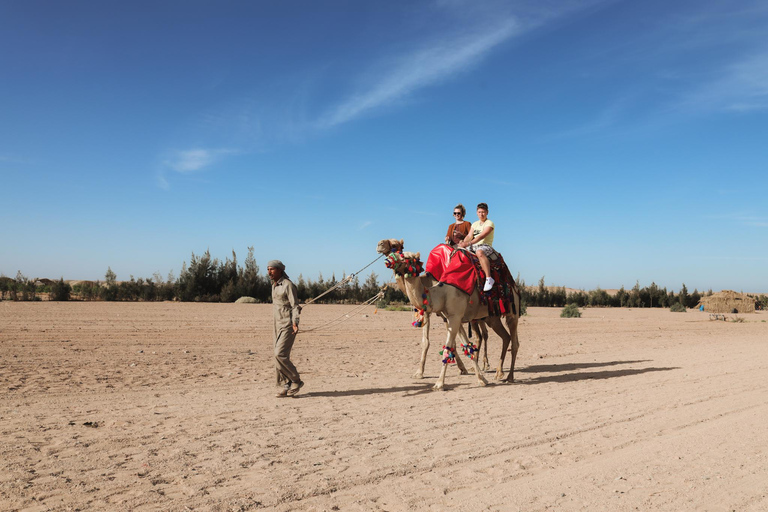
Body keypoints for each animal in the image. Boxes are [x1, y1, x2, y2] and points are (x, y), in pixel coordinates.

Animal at [376, 239, 520, 388]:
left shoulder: (454, 317)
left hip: (512, 310)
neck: (441, 291)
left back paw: (509, 377)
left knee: (514, 342)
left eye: (405, 256)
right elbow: (466, 346)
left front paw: (439, 383)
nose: (381, 247)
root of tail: (514, 286)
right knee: (505, 337)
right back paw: (498, 373)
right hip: (492, 317)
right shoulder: (451, 316)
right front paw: (481, 379)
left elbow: (449, 347)